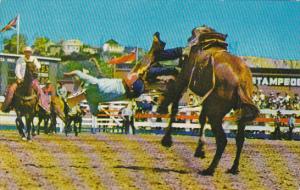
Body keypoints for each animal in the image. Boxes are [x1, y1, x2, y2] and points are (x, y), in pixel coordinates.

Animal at [157, 26, 258, 176]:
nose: (159, 107)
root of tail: (240, 81)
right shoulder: (206, 99)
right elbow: (201, 118)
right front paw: (200, 150)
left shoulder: (185, 77)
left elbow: (175, 104)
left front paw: (167, 140)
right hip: (240, 111)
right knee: (240, 138)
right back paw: (233, 168)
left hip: (215, 113)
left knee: (222, 140)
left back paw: (209, 169)